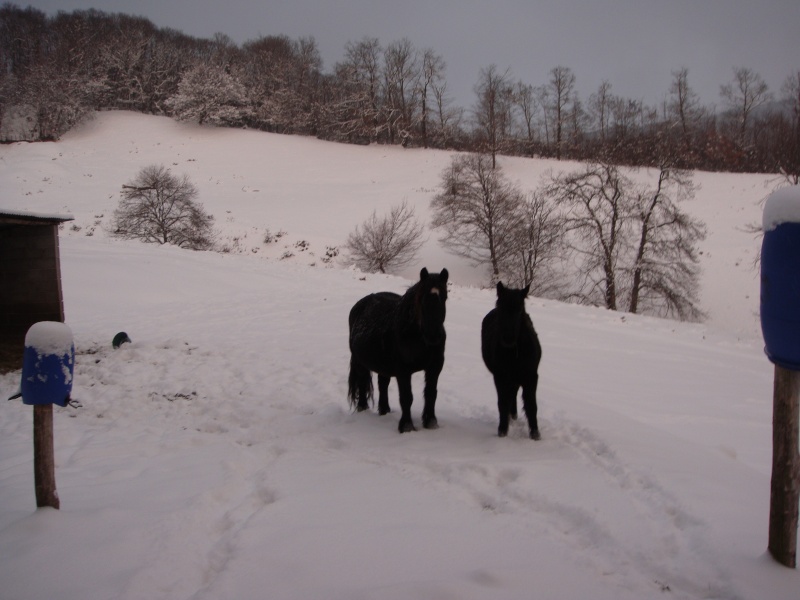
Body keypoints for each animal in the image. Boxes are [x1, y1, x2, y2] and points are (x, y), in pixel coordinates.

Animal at [482, 282, 544, 440]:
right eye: (501, 307)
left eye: (519, 309)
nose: (508, 338)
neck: (515, 352)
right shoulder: (500, 377)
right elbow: (503, 402)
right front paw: (503, 430)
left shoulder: (531, 376)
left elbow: (531, 404)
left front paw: (535, 433)